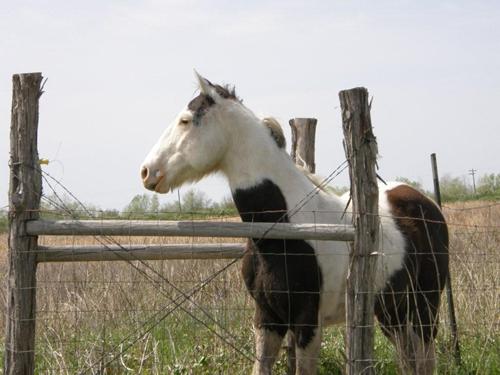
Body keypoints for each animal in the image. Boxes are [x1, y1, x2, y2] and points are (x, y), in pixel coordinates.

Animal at [141, 73, 450, 375]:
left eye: (185, 120)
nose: (147, 172)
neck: (285, 229)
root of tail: (424, 202)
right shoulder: (267, 319)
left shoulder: (307, 321)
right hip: (390, 309)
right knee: (408, 358)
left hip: (425, 305)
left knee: (424, 356)